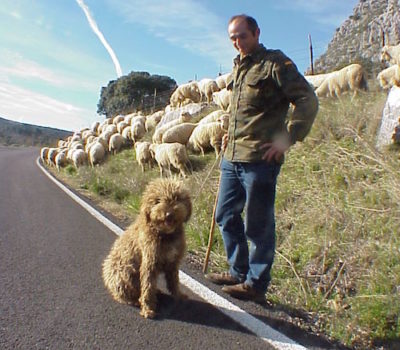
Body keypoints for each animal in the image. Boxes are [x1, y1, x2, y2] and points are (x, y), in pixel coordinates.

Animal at [102, 179, 191, 318]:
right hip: (124, 272)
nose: (169, 214)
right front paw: (148, 309)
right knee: (123, 294)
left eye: (177, 198)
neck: (165, 235)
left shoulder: (173, 262)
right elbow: (147, 287)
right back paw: (133, 300)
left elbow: (174, 281)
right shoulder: (149, 262)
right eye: (157, 201)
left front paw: (179, 295)